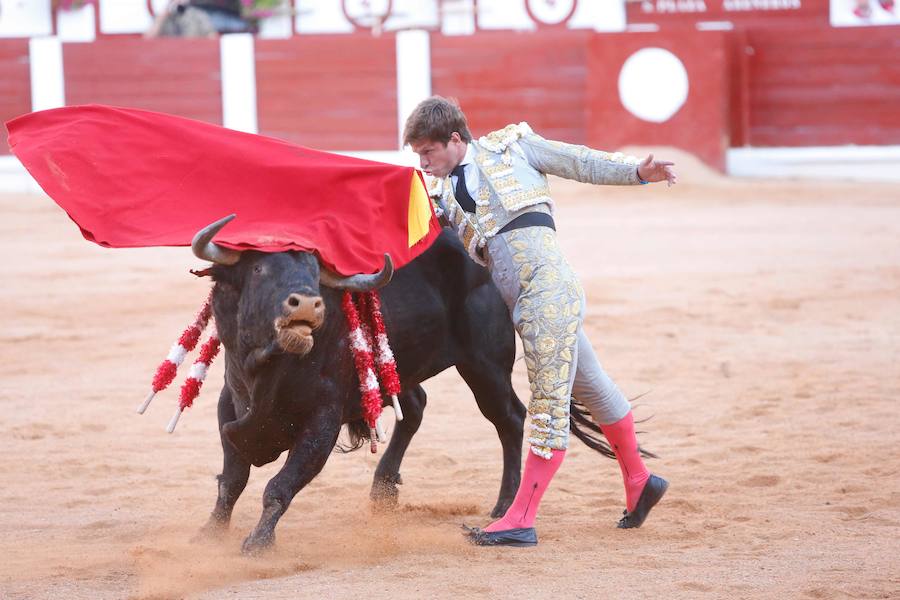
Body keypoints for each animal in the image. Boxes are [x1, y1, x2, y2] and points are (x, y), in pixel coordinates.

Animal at [192, 217, 608, 552]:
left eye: (314, 271)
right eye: (259, 268)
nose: (308, 304)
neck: (270, 366)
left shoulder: (322, 422)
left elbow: (279, 486)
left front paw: (258, 542)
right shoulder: (230, 406)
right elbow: (232, 480)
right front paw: (210, 532)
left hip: (485, 366)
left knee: (510, 419)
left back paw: (504, 506)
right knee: (417, 406)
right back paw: (383, 490)